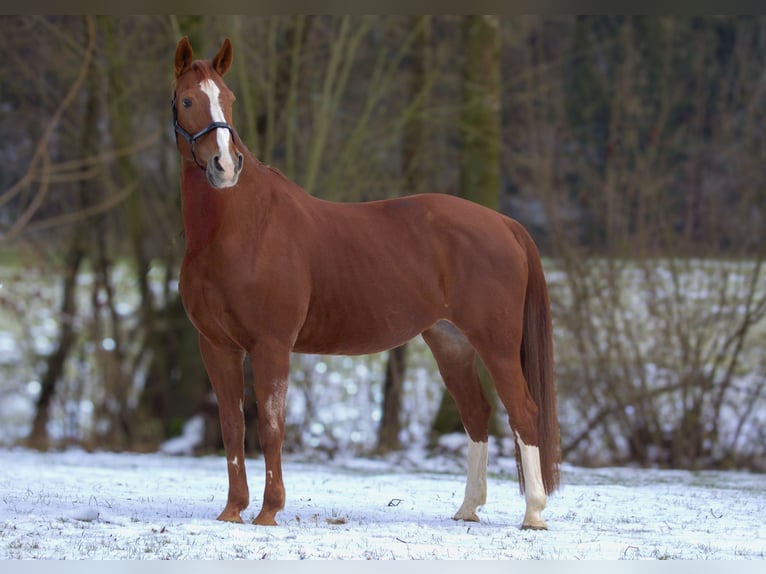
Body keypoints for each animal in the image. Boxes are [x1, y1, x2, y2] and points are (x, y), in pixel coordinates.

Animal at [171, 36, 560, 532]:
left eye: (230, 100)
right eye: (187, 100)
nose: (225, 165)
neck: (239, 227)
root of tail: (504, 223)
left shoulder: (271, 345)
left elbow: (272, 427)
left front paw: (269, 511)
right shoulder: (217, 346)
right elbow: (232, 427)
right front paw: (232, 511)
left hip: (497, 344)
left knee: (523, 412)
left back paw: (533, 514)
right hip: (450, 343)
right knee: (477, 413)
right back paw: (468, 509)